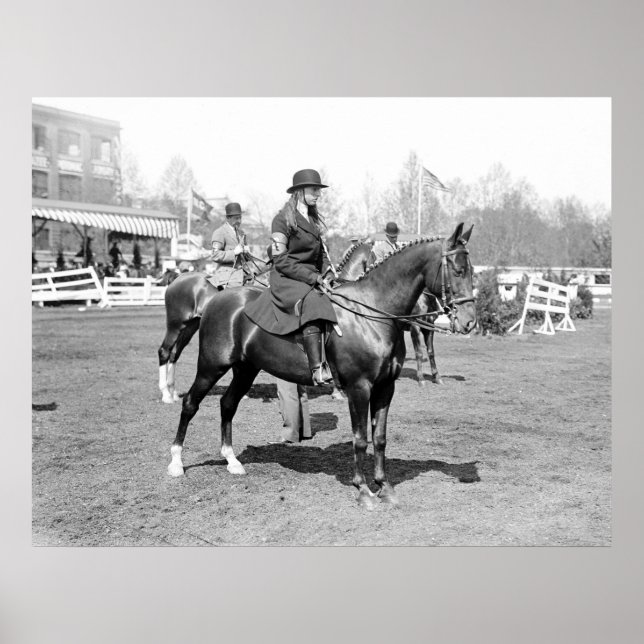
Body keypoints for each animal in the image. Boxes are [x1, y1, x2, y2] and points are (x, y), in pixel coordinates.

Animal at [157, 256, 270, 403]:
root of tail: (178, 277)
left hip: (190, 326)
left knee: (175, 353)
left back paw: (173, 392)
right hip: (175, 324)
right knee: (164, 351)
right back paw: (165, 394)